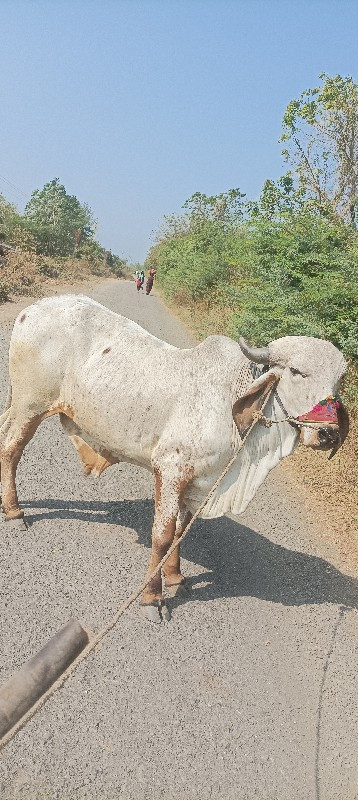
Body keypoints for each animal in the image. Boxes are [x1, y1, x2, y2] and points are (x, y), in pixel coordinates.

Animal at [0, 296, 346, 620]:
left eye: (339, 381)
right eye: (297, 372)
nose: (327, 433)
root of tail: (31, 310)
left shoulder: (198, 482)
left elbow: (181, 532)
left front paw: (176, 577)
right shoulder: (170, 469)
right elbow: (163, 535)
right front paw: (153, 598)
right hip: (30, 405)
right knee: (11, 450)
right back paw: (14, 511)